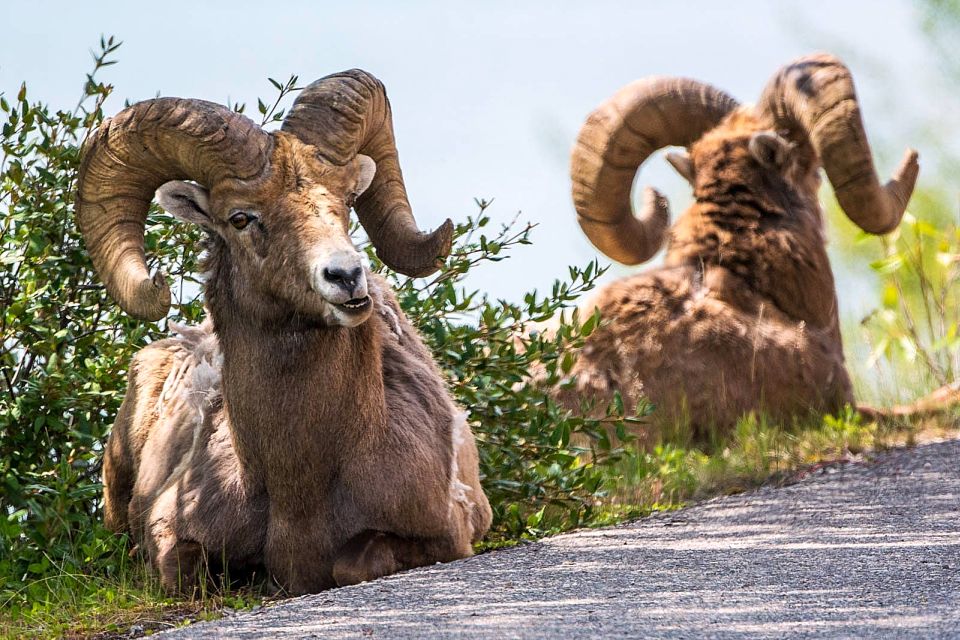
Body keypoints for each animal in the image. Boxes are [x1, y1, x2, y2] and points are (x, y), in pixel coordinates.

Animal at [78, 70, 492, 596]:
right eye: (240, 218)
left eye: (347, 200)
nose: (346, 277)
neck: (299, 485)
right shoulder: (168, 533)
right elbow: (184, 572)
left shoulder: (449, 536)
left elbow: (352, 563)